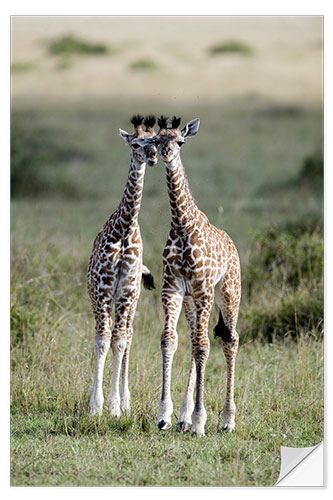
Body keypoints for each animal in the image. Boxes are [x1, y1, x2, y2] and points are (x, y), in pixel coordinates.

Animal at [136, 115, 240, 436]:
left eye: (180, 141)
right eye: (158, 140)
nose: (166, 154)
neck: (183, 226)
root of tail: (233, 245)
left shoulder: (204, 289)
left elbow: (203, 347)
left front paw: (200, 422)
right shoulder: (172, 288)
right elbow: (169, 340)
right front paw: (166, 416)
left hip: (228, 293)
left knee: (230, 340)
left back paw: (227, 420)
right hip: (193, 301)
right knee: (197, 339)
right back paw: (184, 417)